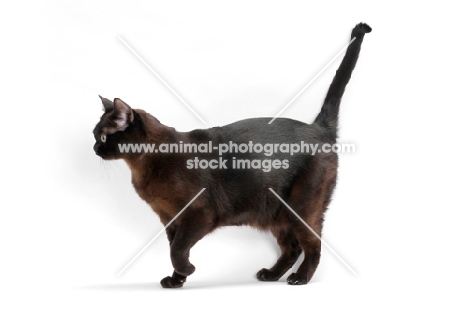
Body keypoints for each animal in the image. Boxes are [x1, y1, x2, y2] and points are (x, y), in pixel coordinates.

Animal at [93, 23, 372, 288]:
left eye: (103, 137)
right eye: (95, 135)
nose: (94, 149)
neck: (142, 169)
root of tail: (319, 127)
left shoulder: (198, 214)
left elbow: (177, 250)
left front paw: (187, 271)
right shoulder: (170, 219)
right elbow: (174, 249)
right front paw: (177, 280)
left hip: (302, 207)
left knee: (313, 244)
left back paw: (300, 278)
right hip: (275, 214)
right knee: (291, 248)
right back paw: (271, 274)